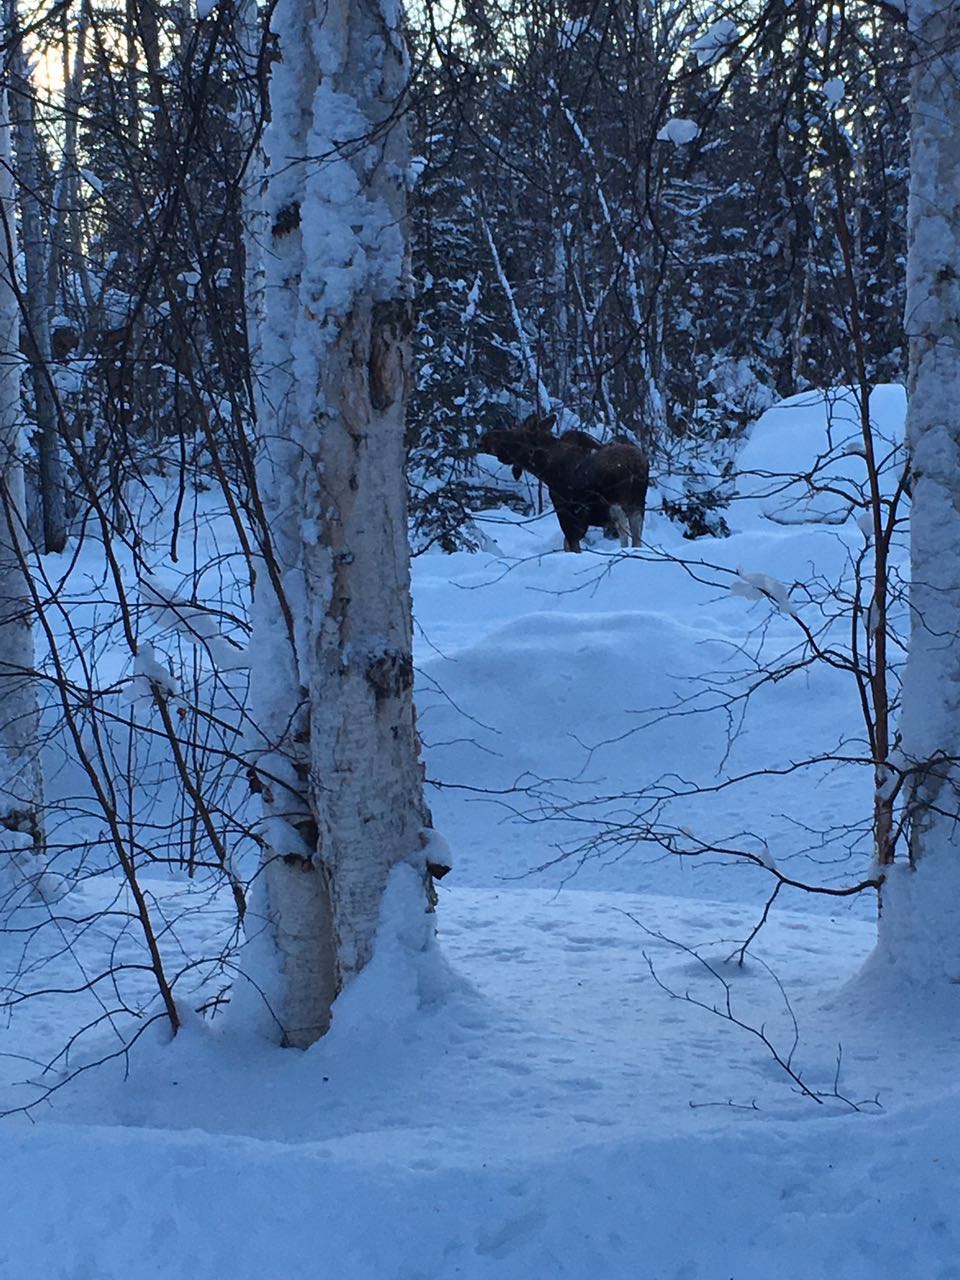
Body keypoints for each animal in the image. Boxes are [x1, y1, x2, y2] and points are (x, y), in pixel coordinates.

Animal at [478, 409, 650, 550]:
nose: (483, 439)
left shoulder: (569, 518)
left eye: (514, 434)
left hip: (617, 505)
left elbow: (571, 546)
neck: (545, 470)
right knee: (637, 540)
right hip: (637, 505)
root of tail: (636, 466)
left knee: (625, 538)